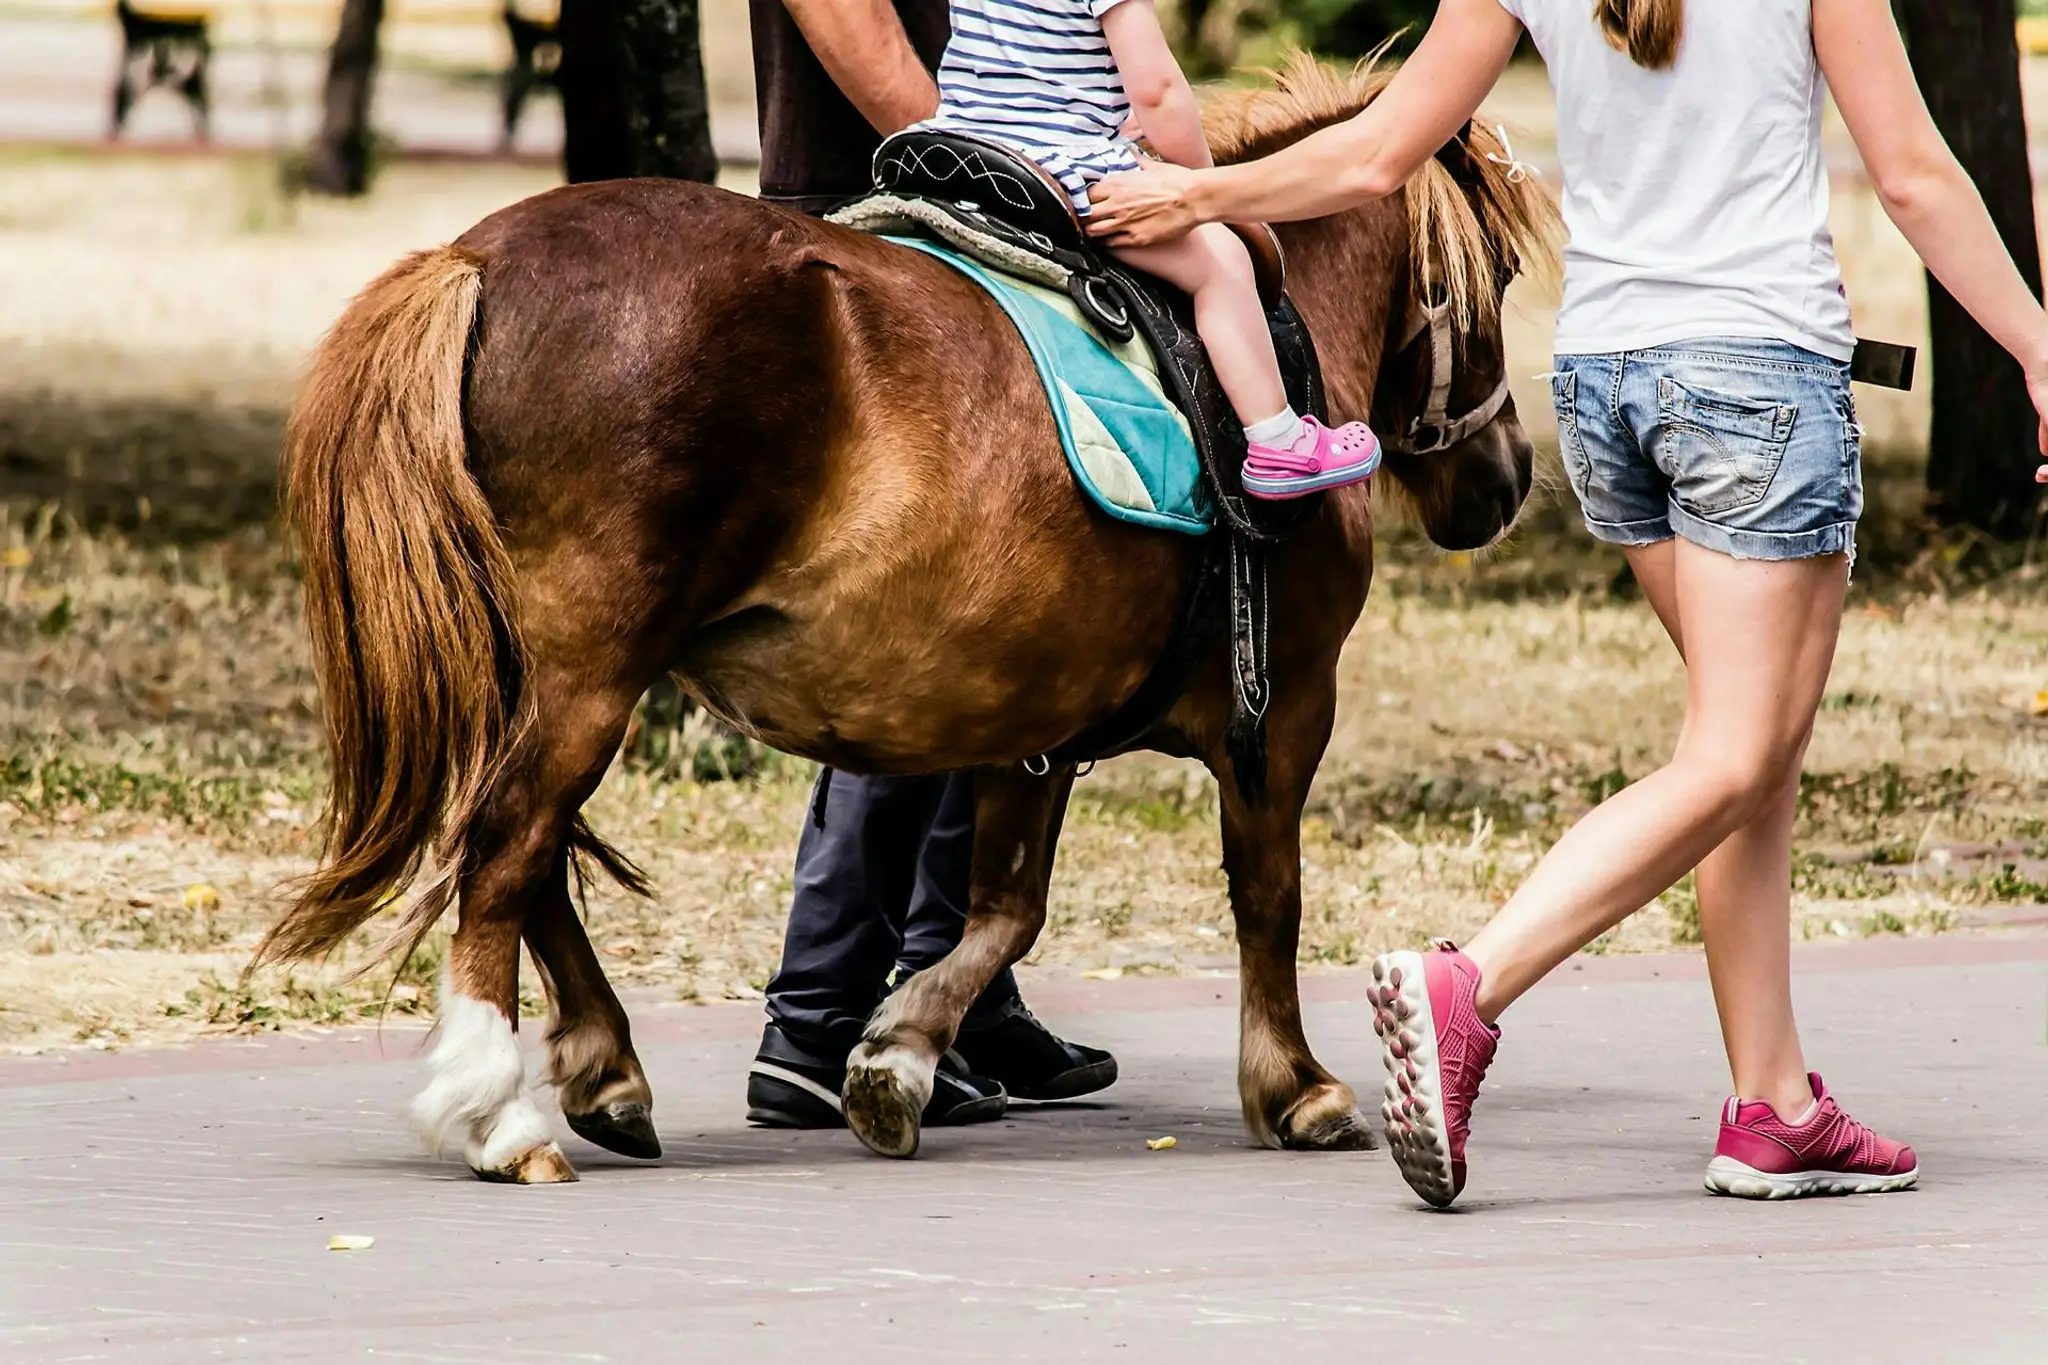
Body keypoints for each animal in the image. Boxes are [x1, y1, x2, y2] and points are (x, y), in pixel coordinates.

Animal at [257, 56, 1559, 1183]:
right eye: (1496, 278)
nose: (1503, 479)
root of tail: (472, 256)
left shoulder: (1036, 717)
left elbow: (1005, 910)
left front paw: (898, 1054)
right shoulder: (1282, 711)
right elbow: (1265, 894)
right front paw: (1293, 1083)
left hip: (543, 671)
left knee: (529, 856)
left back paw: (604, 1066)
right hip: (590, 670)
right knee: (508, 844)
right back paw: (498, 1108)